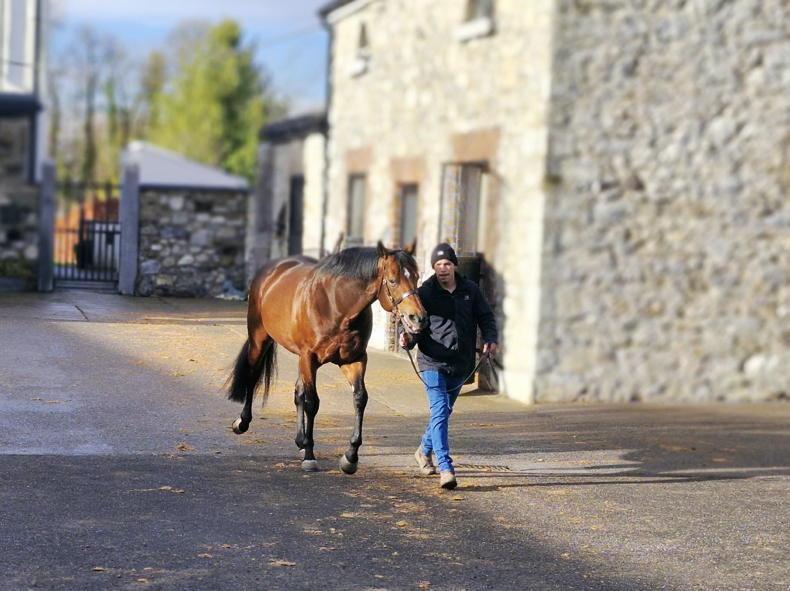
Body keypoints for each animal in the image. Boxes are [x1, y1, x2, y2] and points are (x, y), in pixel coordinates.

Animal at [227, 240, 428, 473]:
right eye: (393, 280)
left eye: (416, 276)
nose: (418, 318)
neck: (336, 305)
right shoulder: (309, 358)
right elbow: (312, 403)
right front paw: (310, 456)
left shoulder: (354, 360)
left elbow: (360, 399)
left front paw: (350, 457)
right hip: (260, 339)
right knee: (253, 375)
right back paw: (243, 422)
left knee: (298, 392)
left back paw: (300, 441)